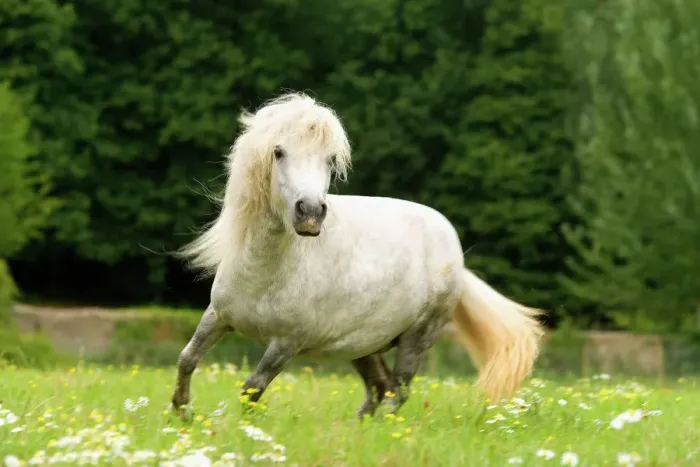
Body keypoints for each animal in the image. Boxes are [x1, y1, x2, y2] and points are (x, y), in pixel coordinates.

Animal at [170, 92, 544, 419]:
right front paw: (180, 413)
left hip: (417, 338)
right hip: (364, 345)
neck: (267, 270)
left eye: (329, 160)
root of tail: (455, 255)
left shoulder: (286, 344)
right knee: (379, 388)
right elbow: (187, 358)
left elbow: (252, 388)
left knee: (397, 391)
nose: (310, 213)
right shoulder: (218, 316)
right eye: (278, 152)